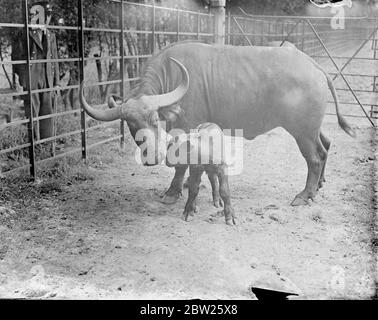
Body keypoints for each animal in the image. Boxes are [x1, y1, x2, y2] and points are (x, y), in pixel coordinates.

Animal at [79, 41, 354, 206]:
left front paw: (172, 193)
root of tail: (313, 66)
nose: (150, 157)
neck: (174, 78)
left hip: (302, 131)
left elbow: (181, 163)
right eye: (130, 125)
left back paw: (305, 194)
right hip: (312, 128)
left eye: (155, 119)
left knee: (315, 157)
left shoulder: (187, 127)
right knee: (326, 145)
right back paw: (319, 185)